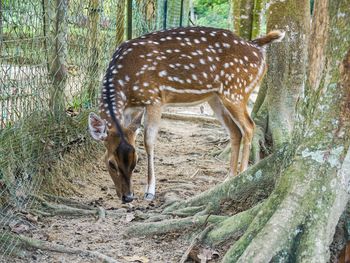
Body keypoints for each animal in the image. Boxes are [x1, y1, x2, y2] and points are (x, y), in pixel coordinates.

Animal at [87, 26, 284, 204]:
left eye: (136, 161)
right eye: (110, 163)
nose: (128, 197)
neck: (125, 83)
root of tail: (256, 46)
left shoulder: (155, 98)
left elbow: (148, 141)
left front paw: (150, 191)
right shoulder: (131, 109)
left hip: (236, 90)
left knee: (249, 126)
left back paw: (241, 175)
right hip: (216, 97)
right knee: (235, 131)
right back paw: (228, 178)